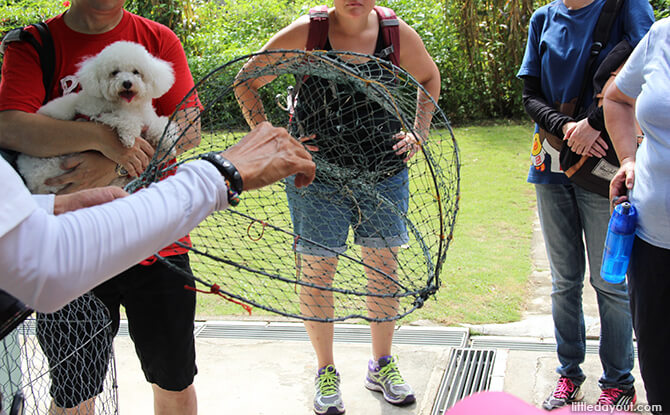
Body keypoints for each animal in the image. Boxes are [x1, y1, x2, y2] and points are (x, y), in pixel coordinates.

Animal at [18, 40, 180, 193]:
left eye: (136, 72)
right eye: (114, 72)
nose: (127, 83)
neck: (129, 105)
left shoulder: (148, 117)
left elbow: (160, 126)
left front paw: (168, 142)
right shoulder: (97, 115)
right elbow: (124, 119)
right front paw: (128, 137)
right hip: (54, 165)